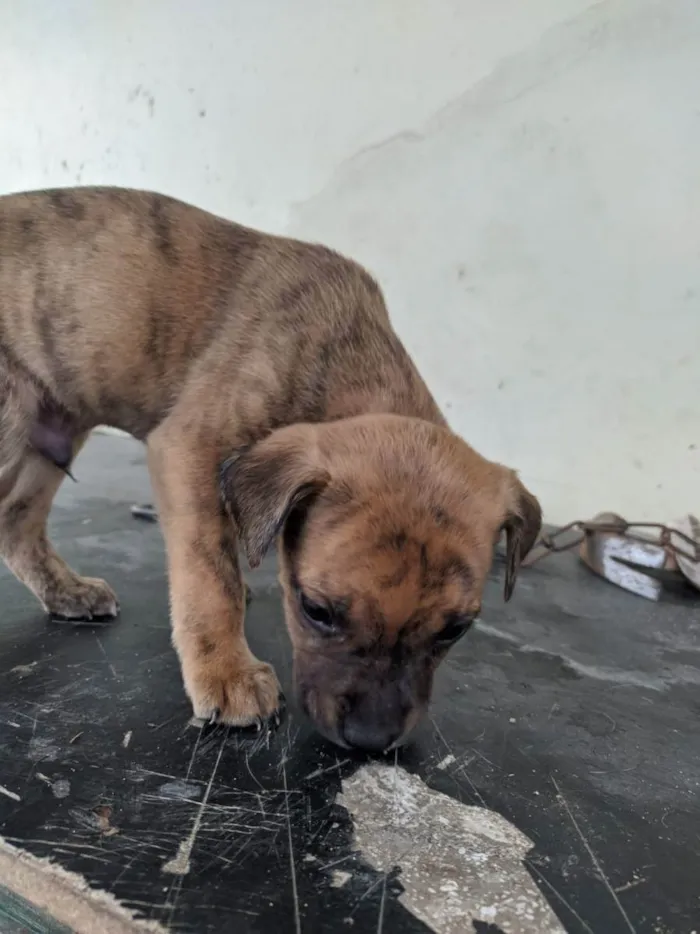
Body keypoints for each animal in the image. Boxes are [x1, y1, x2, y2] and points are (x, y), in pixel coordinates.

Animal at [0, 190, 540, 752]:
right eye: (315, 610)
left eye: (455, 630)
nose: (370, 740)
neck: (342, 358)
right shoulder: (190, 449)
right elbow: (209, 574)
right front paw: (227, 672)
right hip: (10, 421)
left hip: (49, 432)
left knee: (16, 523)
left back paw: (66, 591)